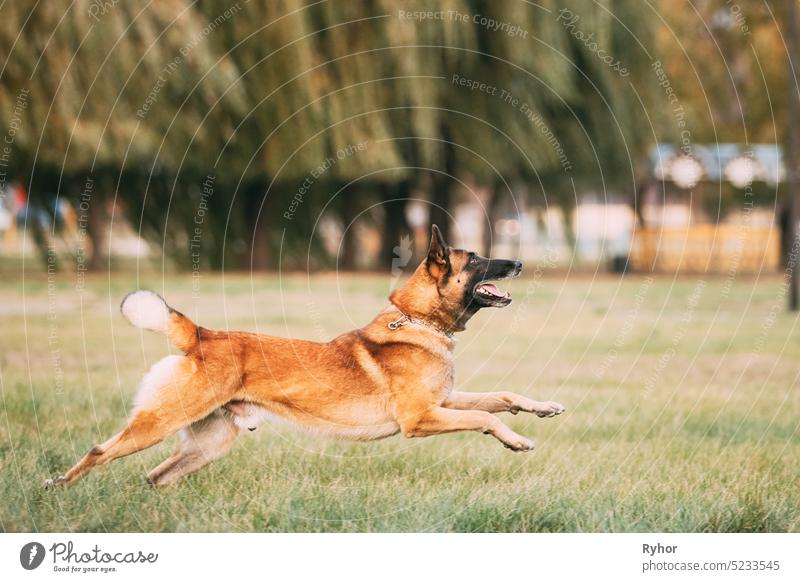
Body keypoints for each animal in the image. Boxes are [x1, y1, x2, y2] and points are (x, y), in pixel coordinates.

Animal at [47, 226, 564, 490]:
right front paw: (516, 440)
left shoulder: (444, 402)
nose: (519, 262)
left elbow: (500, 396)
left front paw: (542, 408)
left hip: (208, 443)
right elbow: (486, 418)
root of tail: (201, 334)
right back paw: (58, 490)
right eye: (475, 260)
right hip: (162, 421)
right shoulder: (421, 418)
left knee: (156, 476)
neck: (418, 321)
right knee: (100, 452)